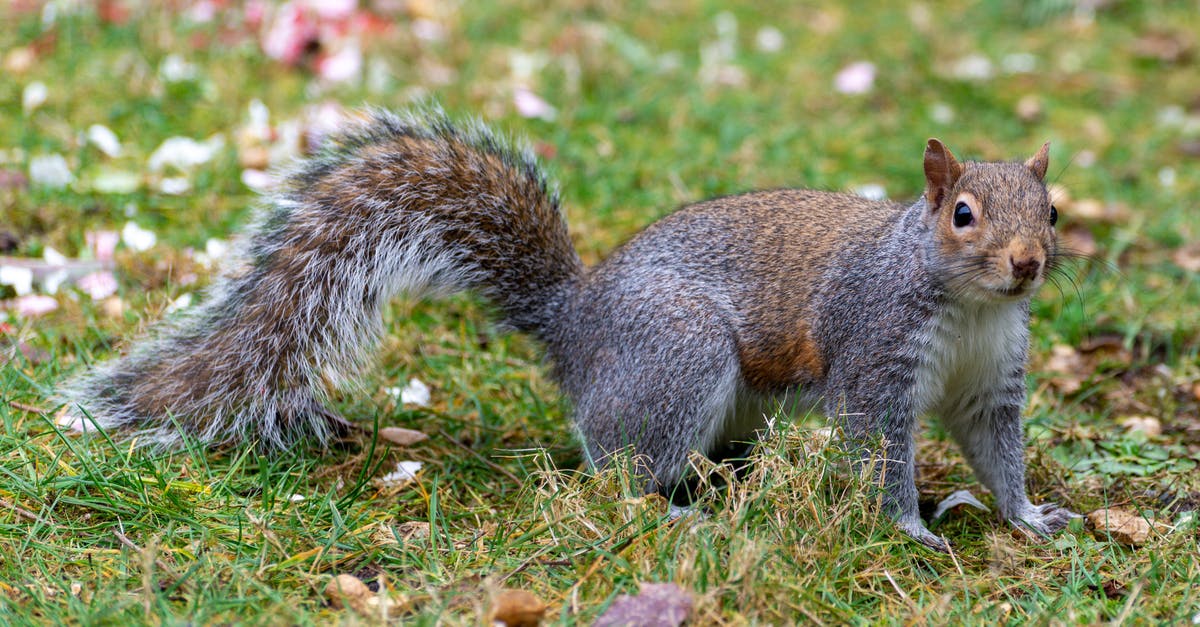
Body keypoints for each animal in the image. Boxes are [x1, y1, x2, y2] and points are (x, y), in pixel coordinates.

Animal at [58, 107, 1080, 547]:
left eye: (1054, 211)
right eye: (963, 214)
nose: (1029, 263)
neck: (973, 309)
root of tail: (576, 326)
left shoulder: (991, 383)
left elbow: (998, 452)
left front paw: (1028, 515)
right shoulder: (877, 357)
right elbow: (881, 454)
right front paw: (910, 527)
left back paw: (729, 483)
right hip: (678, 354)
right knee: (619, 469)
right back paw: (680, 509)